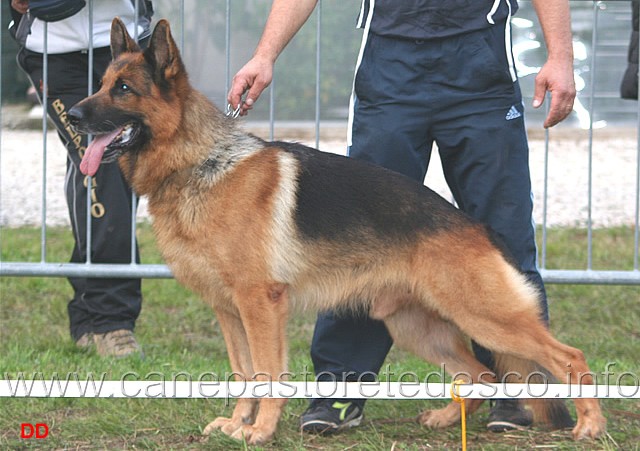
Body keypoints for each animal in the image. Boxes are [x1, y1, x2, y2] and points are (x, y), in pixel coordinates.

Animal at [70, 16, 604, 444]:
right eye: (101, 83)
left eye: (123, 89)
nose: (73, 114)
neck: (197, 163)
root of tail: (476, 228)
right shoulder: (228, 310)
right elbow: (243, 373)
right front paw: (238, 424)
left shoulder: (260, 304)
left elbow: (268, 373)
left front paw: (259, 431)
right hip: (418, 327)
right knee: (483, 375)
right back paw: (448, 419)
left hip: (485, 317)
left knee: (568, 357)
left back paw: (590, 425)